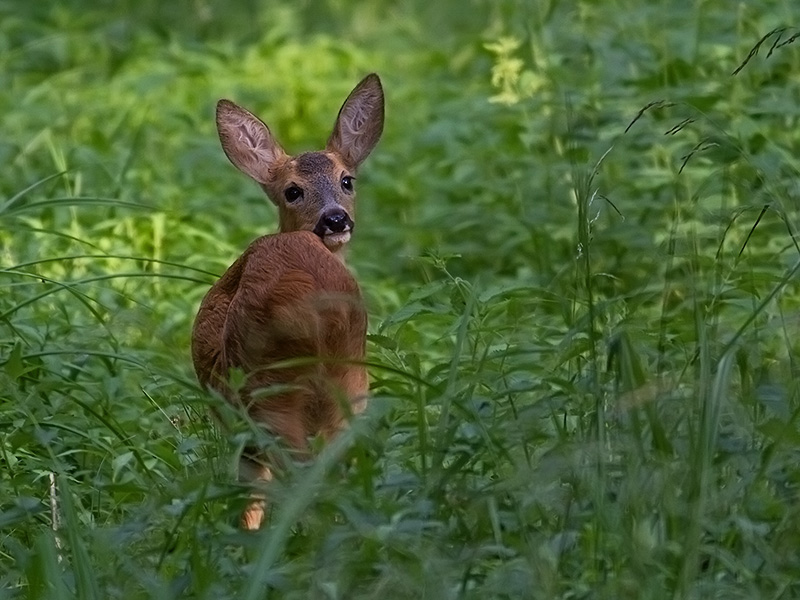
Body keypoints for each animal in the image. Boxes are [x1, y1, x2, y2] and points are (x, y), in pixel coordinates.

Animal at [191, 72, 384, 528]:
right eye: (292, 191)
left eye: (347, 180)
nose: (335, 218)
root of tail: (316, 308)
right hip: (350, 385)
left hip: (269, 393)